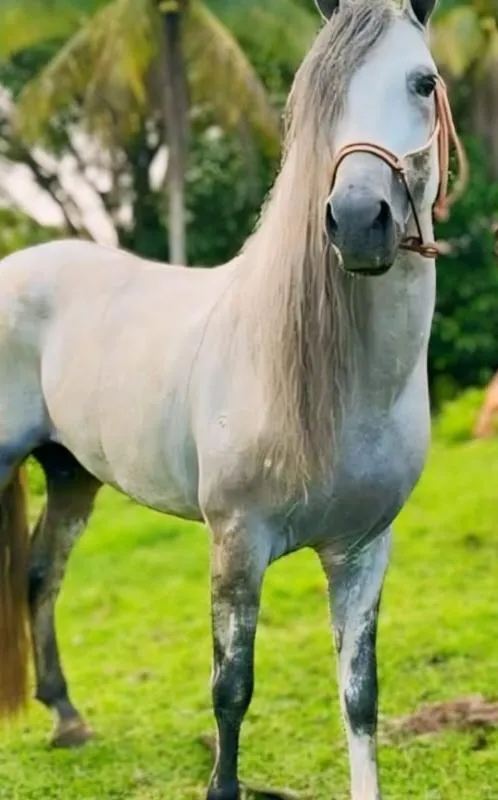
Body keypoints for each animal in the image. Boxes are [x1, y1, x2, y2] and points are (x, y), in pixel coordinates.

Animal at [0, 0, 467, 797]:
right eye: (315, 95)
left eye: (423, 82)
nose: (356, 219)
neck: (347, 390)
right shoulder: (237, 542)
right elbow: (232, 690)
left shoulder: (363, 551)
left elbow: (360, 696)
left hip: (71, 474)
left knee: (41, 573)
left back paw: (67, 719)